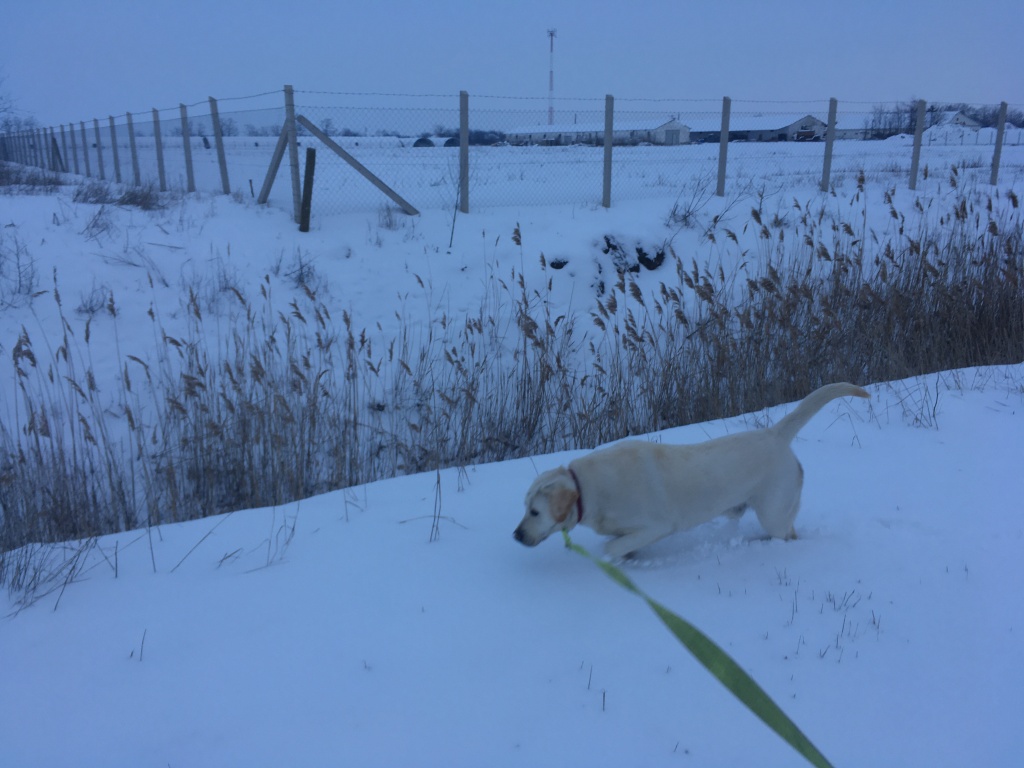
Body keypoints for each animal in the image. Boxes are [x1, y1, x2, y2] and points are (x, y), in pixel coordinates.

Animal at [514, 383, 870, 558]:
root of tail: (775, 433)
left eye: (534, 512)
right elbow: (622, 545)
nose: (516, 535)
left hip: (774, 511)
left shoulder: (658, 525)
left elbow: (611, 547)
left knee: (788, 534)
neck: (587, 489)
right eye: (525, 507)